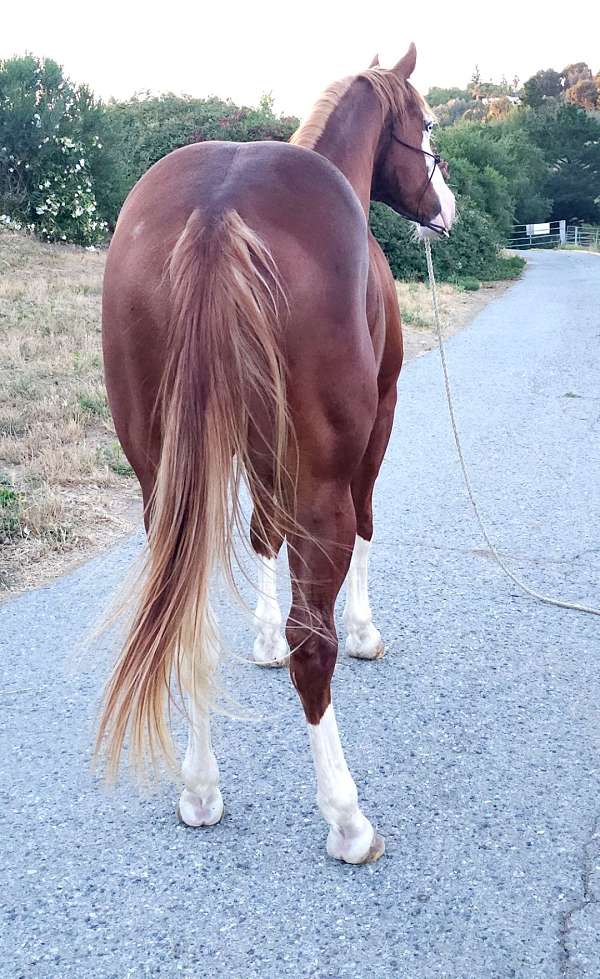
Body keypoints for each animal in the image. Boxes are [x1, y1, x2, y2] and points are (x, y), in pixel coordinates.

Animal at [98, 43, 456, 864]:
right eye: (426, 123)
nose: (445, 210)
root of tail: (216, 214)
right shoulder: (379, 419)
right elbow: (365, 527)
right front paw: (363, 632)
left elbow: (262, 533)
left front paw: (257, 637)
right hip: (324, 473)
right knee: (310, 643)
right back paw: (346, 818)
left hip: (162, 480)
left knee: (187, 620)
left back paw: (200, 790)